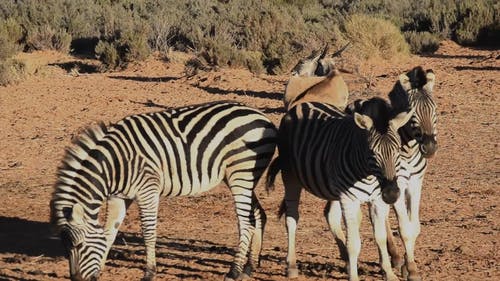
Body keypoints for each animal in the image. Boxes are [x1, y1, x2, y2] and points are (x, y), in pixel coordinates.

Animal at [50, 100, 278, 280]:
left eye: (78, 246)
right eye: (66, 248)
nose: (77, 279)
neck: (114, 165)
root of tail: (263, 117)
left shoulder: (147, 189)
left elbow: (148, 232)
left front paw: (149, 272)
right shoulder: (119, 196)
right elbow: (109, 232)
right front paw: (101, 268)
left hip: (241, 173)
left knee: (246, 223)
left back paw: (234, 271)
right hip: (244, 178)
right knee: (258, 215)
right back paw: (250, 266)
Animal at [266, 98, 414, 280]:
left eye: (398, 151)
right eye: (372, 153)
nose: (392, 194)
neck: (368, 174)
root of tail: (302, 104)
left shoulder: (377, 199)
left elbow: (380, 237)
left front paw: (389, 273)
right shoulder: (349, 199)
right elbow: (354, 244)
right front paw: (354, 277)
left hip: (333, 188)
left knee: (330, 215)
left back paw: (347, 263)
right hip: (290, 176)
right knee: (292, 218)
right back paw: (292, 265)